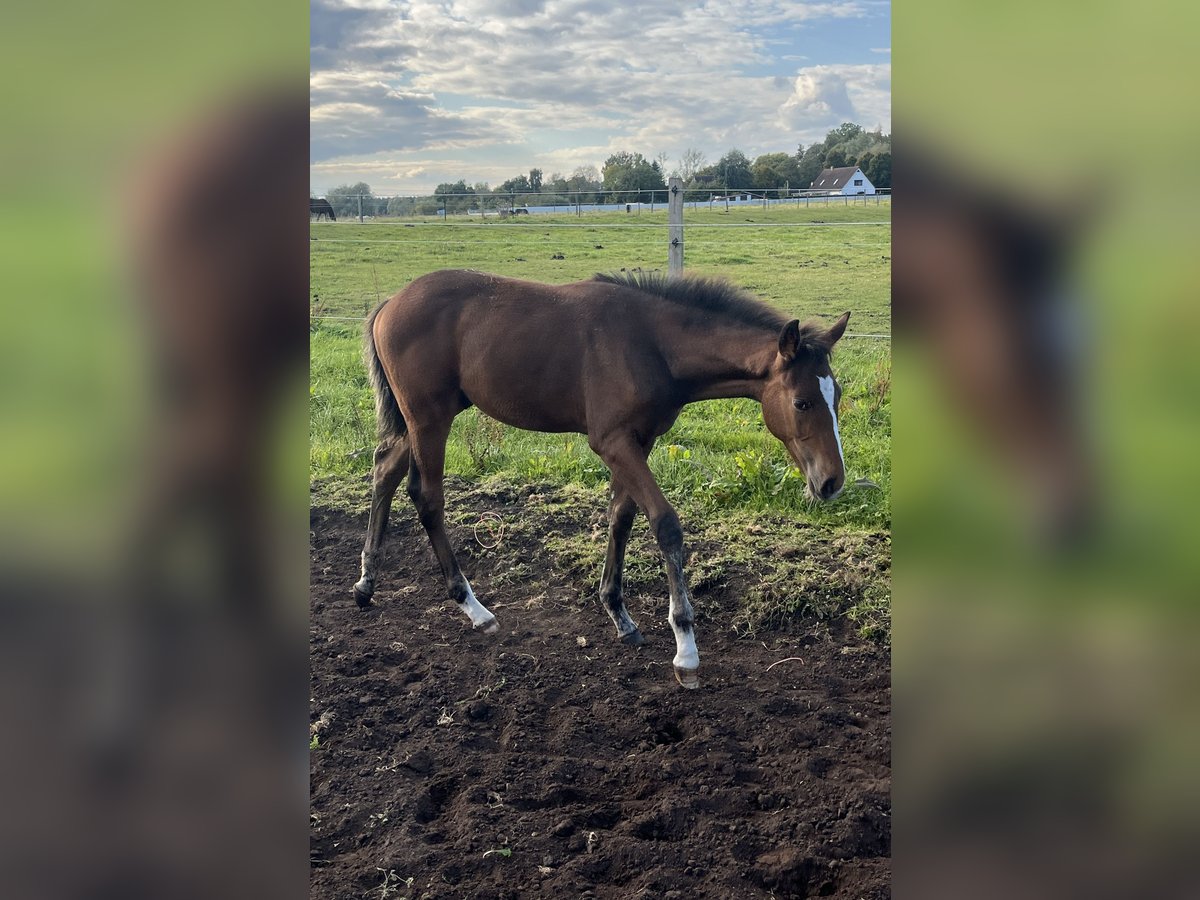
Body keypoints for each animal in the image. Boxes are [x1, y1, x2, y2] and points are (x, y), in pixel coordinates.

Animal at [354, 269, 850, 688]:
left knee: (385, 469)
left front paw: (620, 616)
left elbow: (621, 518)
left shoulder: (639, 441)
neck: (653, 344)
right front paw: (685, 649)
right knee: (427, 496)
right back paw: (474, 608)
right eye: (803, 401)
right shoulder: (612, 442)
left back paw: (366, 584)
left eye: (838, 394)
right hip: (429, 418)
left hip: (423, 417)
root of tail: (389, 303)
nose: (831, 482)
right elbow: (665, 524)